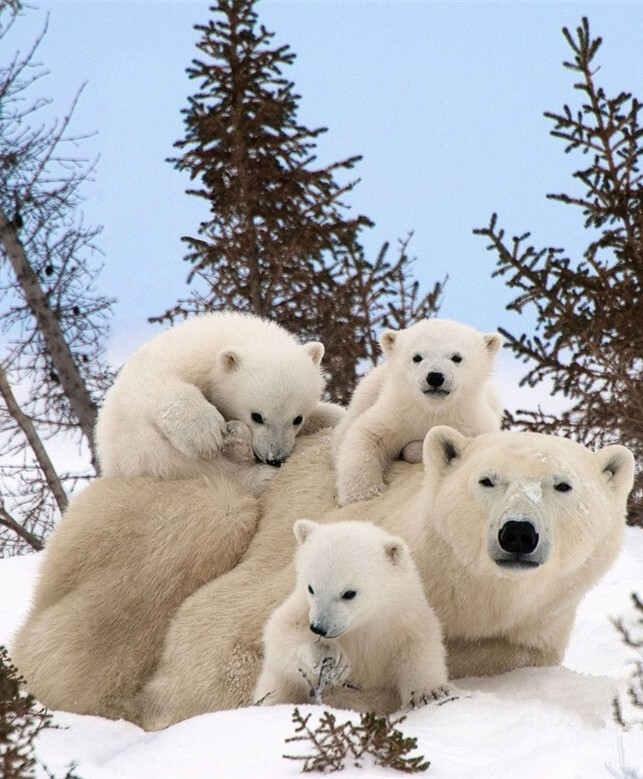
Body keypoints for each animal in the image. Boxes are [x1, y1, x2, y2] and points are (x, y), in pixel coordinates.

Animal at [94, 312, 342, 488]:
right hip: (147, 455)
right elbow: (160, 383)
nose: (275, 458)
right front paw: (206, 433)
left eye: (297, 418)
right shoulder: (176, 359)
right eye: (257, 416)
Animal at [255, 520, 448, 716]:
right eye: (311, 588)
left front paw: (428, 694)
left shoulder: (404, 617)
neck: (363, 624)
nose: (319, 627)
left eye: (349, 593)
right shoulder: (301, 607)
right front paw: (330, 657)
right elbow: (281, 634)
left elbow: (419, 647)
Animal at [332, 316, 504, 506]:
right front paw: (365, 493)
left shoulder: (473, 422)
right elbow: (367, 435)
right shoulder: (396, 413)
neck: (433, 410)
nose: (435, 377)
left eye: (457, 357)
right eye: (417, 357)